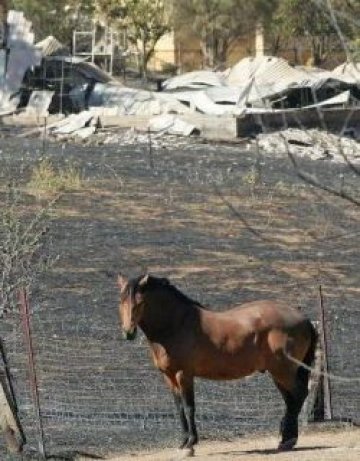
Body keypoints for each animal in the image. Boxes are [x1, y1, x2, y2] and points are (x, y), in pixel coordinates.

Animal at [116, 274, 316, 452]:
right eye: (121, 302)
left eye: (140, 303)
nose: (128, 333)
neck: (176, 324)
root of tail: (304, 319)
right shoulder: (169, 376)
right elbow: (179, 408)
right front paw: (183, 442)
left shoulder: (184, 375)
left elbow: (189, 407)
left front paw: (191, 443)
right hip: (279, 374)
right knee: (291, 400)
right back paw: (286, 439)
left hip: (284, 372)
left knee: (299, 395)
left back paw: (288, 440)